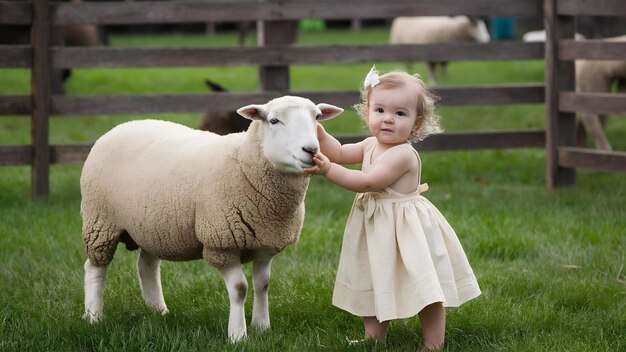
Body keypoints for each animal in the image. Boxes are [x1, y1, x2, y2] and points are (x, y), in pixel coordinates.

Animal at [80, 95, 344, 340]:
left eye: (317, 118)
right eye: (273, 120)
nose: (311, 150)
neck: (244, 163)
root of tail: (121, 126)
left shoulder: (265, 244)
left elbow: (263, 285)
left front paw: (262, 327)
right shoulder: (221, 244)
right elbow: (240, 288)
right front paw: (238, 335)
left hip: (151, 225)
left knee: (147, 266)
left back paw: (160, 312)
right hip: (100, 222)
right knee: (95, 268)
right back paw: (94, 316)